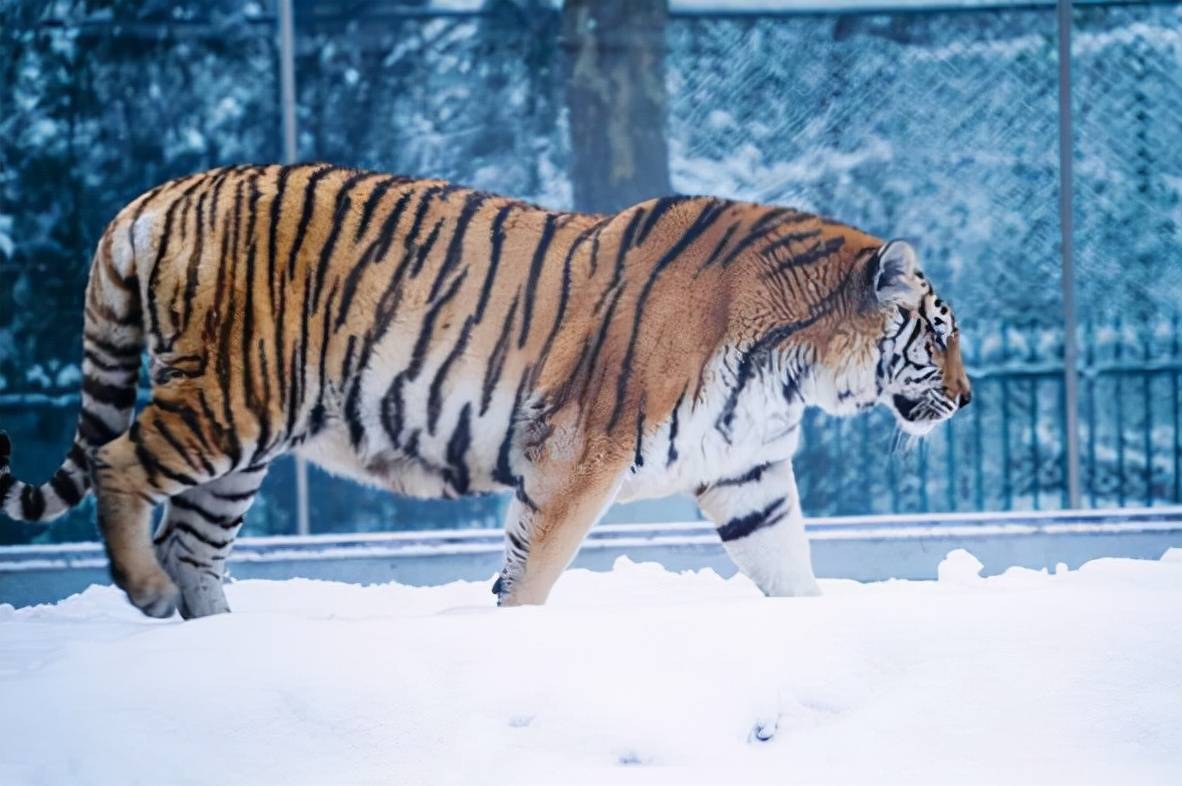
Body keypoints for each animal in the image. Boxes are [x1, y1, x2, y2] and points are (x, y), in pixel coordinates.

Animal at [0, 164, 969, 619]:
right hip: (232, 398)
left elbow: (789, 567)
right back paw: (145, 592)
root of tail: (155, 197)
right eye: (939, 334)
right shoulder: (578, 452)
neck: (792, 368)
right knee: (120, 466)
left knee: (193, 542)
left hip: (244, 442)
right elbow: (534, 570)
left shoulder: (747, 473)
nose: (966, 400)